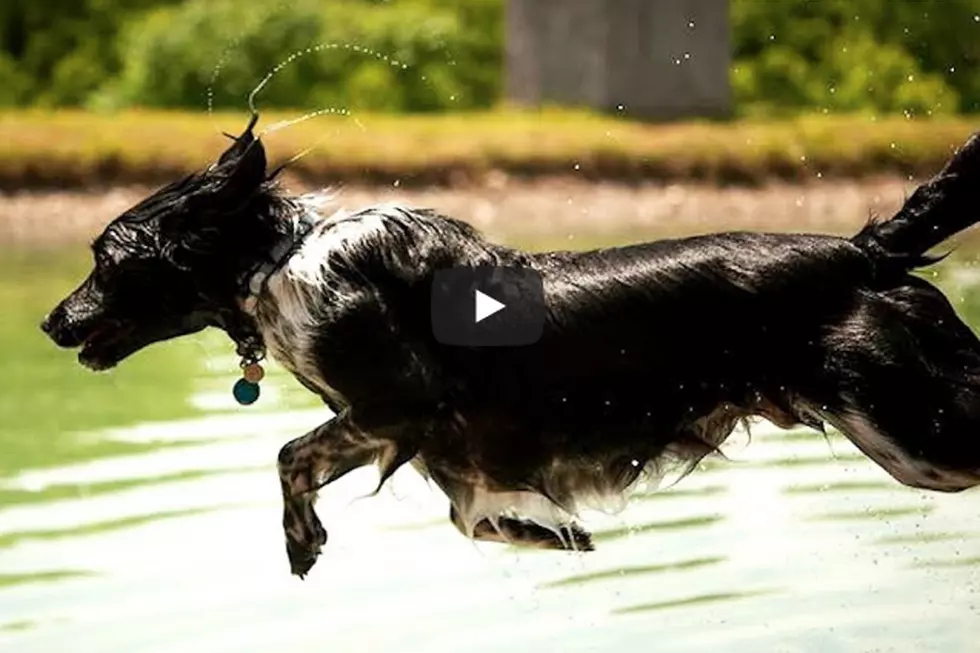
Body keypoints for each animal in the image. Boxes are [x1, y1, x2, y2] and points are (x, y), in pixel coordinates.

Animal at [42, 113, 980, 576]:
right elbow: (471, 513)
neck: (283, 260)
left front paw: (301, 541)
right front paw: (545, 532)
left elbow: (288, 453)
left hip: (913, 428)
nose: (53, 322)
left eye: (104, 260)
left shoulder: (399, 405)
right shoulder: (428, 438)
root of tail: (865, 251)